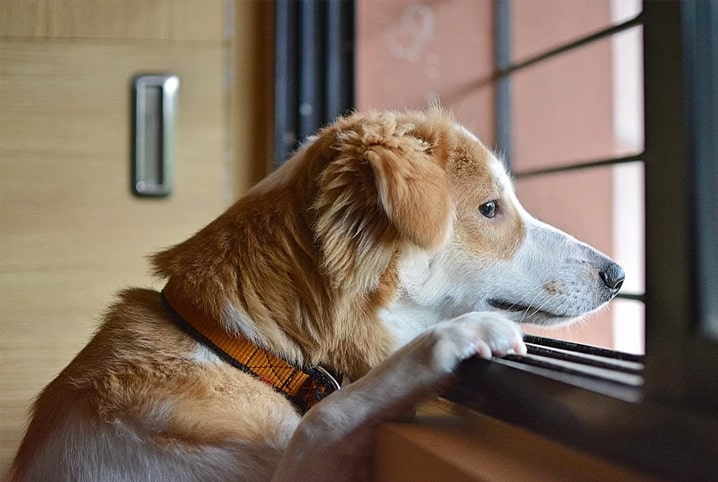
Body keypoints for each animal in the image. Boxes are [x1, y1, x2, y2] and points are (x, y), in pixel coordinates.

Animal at [8, 110, 624, 482]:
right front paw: (451, 340)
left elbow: (324, 416)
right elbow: (328, 416)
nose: (617, 275)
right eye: (490, 208)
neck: (242, 348)